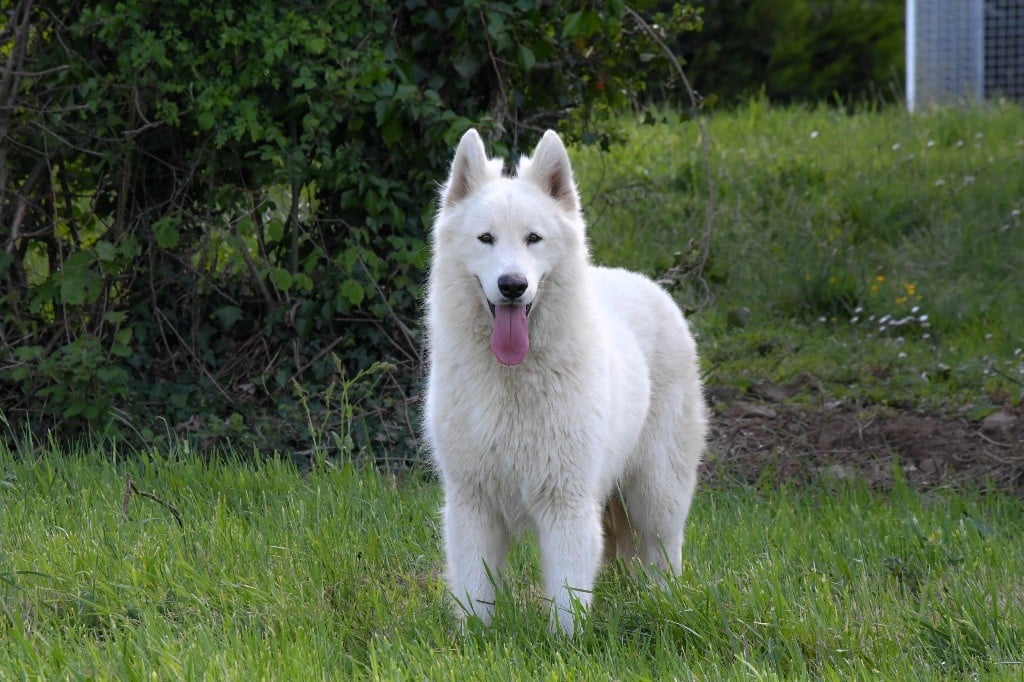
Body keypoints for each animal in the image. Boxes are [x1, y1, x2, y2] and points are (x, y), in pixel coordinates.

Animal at [424, 128, 707, 635]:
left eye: (533, 239)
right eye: (486, 239)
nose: (512, 285)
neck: (513, 379)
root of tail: (649, 286)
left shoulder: (566, 503)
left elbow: (567, 599)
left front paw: (566, 646)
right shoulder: (473, 503)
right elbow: (475, 592)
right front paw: (474, 641)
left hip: (656, 490)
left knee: (664, 553)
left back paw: (666, 606)